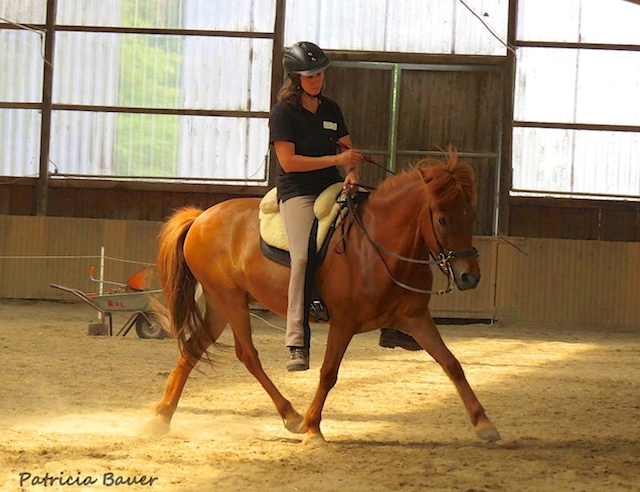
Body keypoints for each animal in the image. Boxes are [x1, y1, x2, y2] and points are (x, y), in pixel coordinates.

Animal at [145, 152, 500, 444]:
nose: (470, 276)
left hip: (220, 305)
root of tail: (200, 217)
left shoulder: (415, 318)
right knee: (247, 354)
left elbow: (452, 364)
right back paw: (292, 417)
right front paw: (314, 428)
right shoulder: (343, 322)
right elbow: (328, 373)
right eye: (442, 218)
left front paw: (484, 424)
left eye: (471, 216)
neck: (378, 246)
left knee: (194, 349)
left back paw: (162, 415)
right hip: (231, 299)